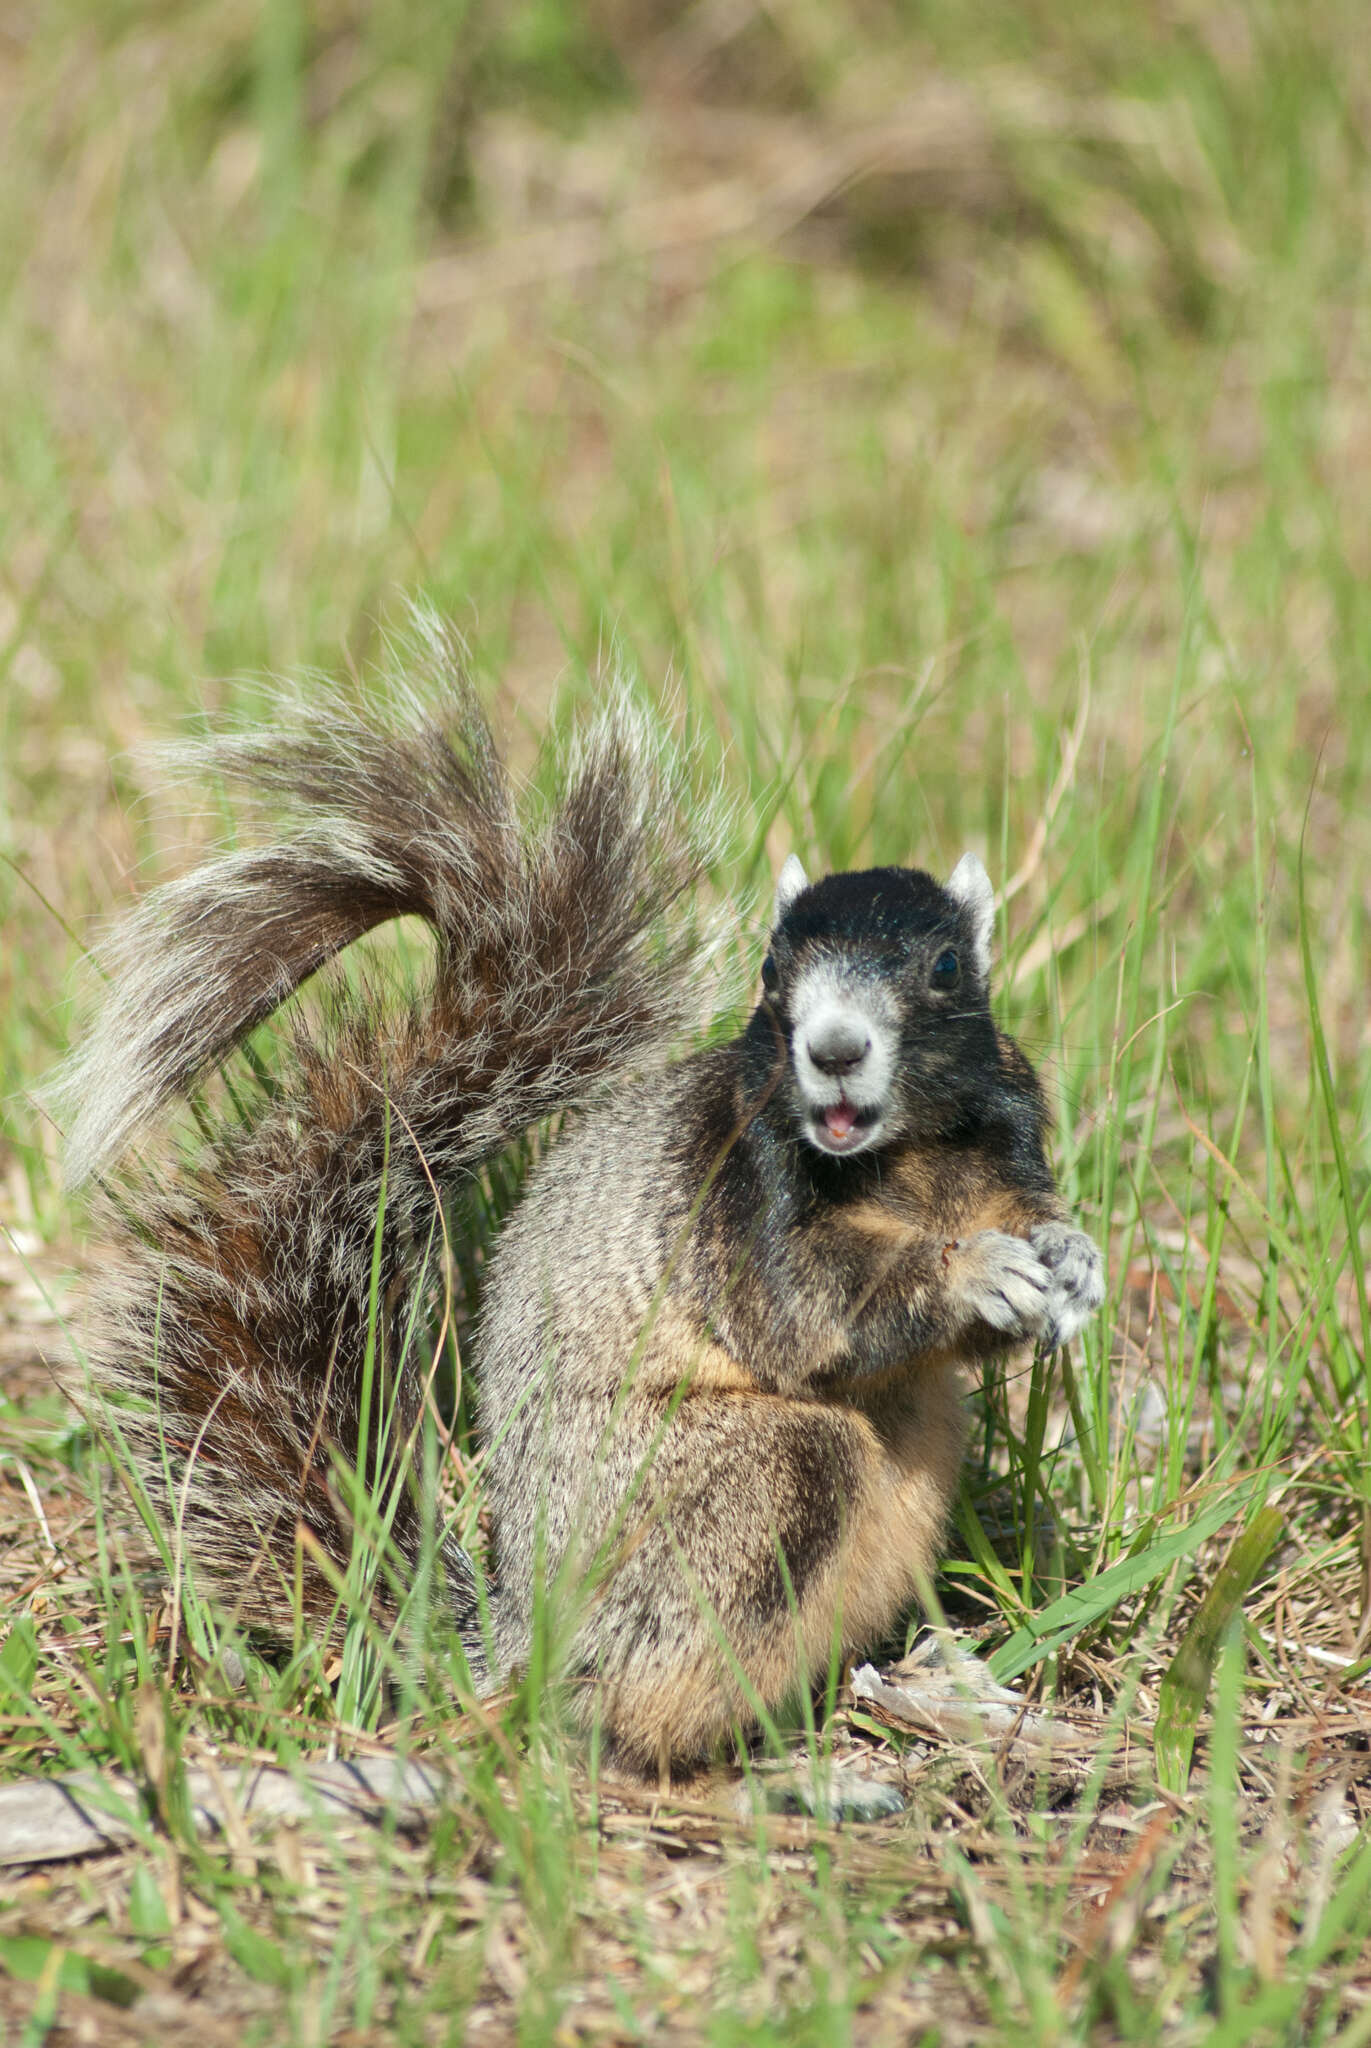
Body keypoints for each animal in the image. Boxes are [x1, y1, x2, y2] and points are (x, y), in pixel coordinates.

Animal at [61, 630, 1098, 1785]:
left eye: (946, 965)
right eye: (773, 965)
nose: (833, 1048)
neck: (907, 1160)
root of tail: (528, 1634)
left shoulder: (1004, 1143)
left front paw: (1069, 1258)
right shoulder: (740, 1198)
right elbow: (808, 1310)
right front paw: (975, 1268)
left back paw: (916, 1683)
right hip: (737, 1492)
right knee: (634, 1696)